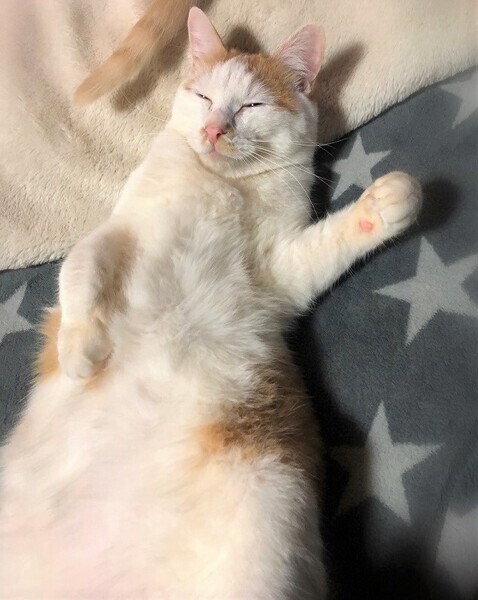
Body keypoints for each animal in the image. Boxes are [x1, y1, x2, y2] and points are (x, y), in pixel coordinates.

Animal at [0, 7, 422, 599]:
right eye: (203, 97)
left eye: (251, 106)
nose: (213, 129)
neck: (224, 186)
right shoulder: (123, 230)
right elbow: (80, 263)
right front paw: (80, 347)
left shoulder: (278, 273)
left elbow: (321, 247)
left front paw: (385, 204)